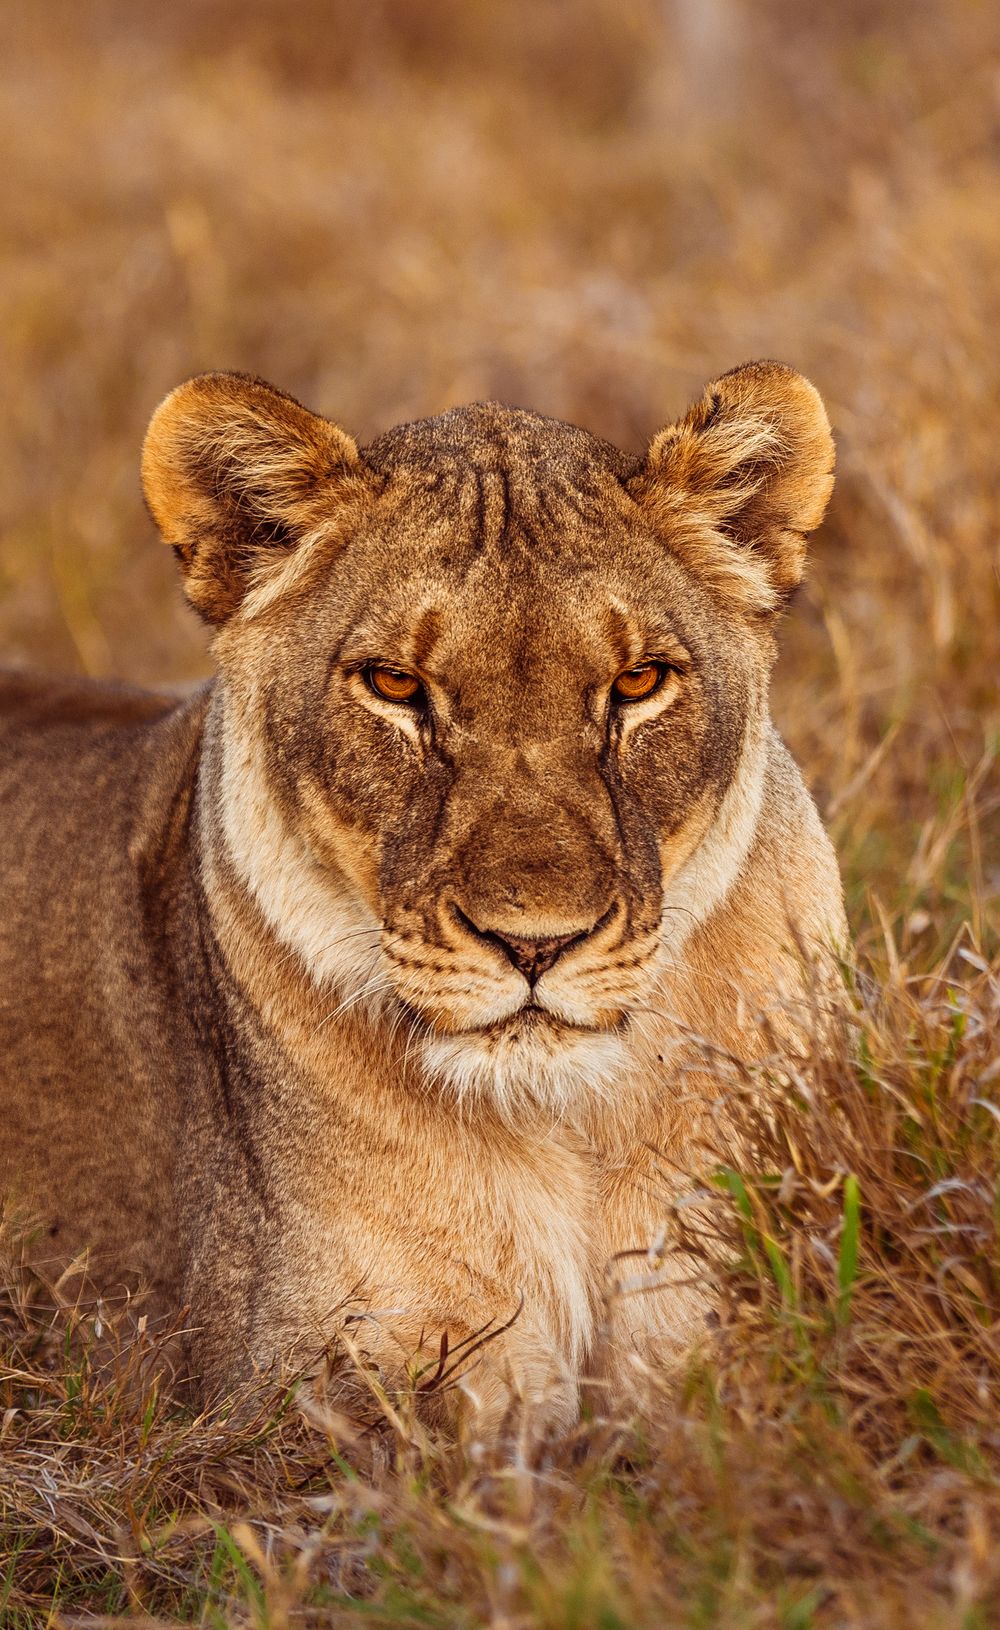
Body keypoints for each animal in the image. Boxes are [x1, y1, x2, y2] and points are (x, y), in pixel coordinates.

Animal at [0, 361, 846, 1431]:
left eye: (639, 681)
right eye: (395, 684)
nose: (537, 943)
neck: (562, 1128)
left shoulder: (721, 1334)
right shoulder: (292, 1387)